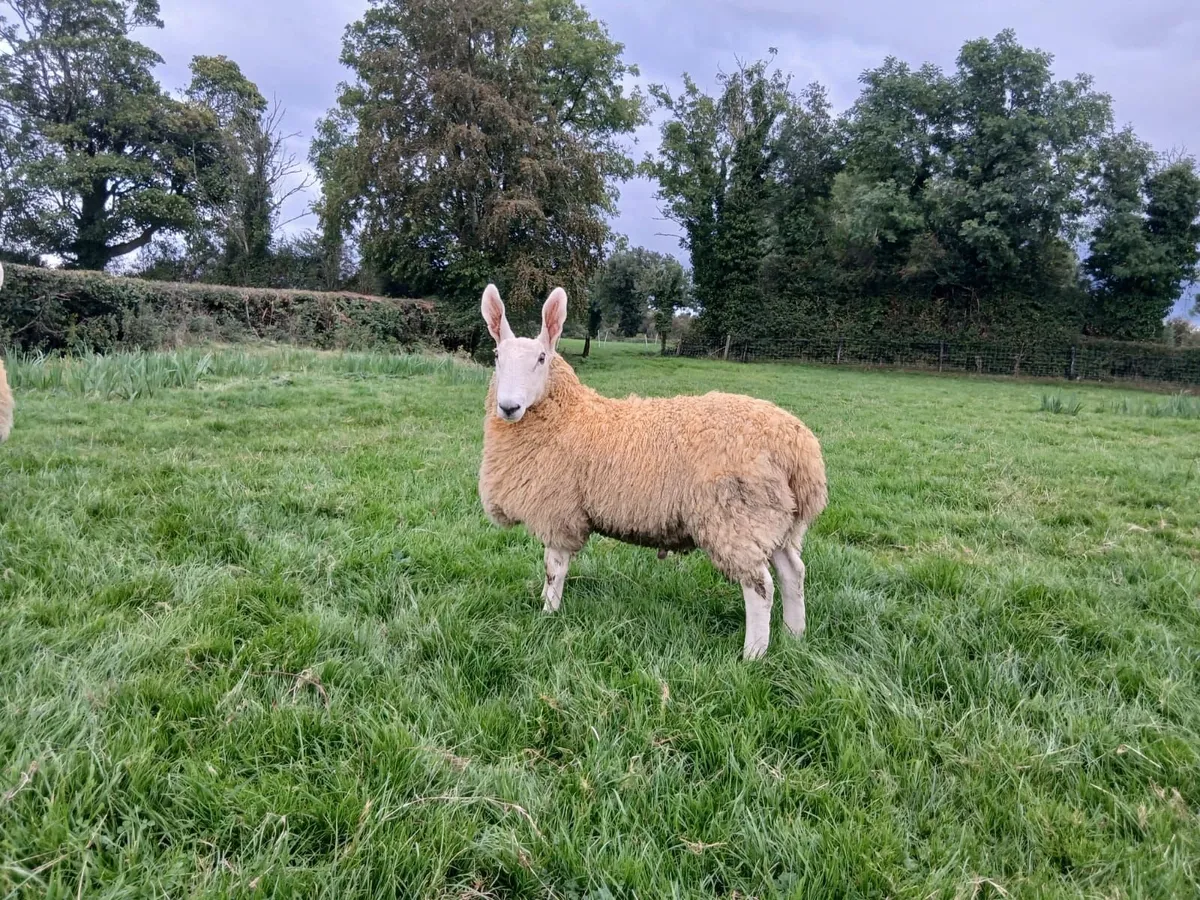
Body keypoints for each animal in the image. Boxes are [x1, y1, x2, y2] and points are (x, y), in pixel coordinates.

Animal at [477, 284, 827, 659]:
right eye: (497, 355)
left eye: (542, 358)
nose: (509, 407)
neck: (569, 415)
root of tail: (799, 447)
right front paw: (546, 608)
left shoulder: (558, 511)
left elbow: (553, 569)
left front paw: (548, 613)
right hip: (777, 520)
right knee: (793, 574)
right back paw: (795, 637)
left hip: (737, 518)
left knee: (761, 586)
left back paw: (753, 655)